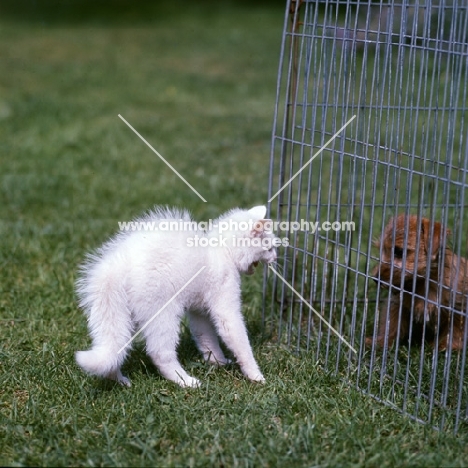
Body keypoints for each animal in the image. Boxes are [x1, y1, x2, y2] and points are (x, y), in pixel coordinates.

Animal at [75, 205, 276, 388]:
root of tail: (116, 265)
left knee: (115, 346)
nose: (275, 257)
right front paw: (256, 375)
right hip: (162, 311)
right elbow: (239, 339)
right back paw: (186, 381)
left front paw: (217, 362)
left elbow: (206, 337)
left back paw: (119, 380)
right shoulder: (224, 301)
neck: (220, 250)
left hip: (122, 314)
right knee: (159, 353)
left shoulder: (199, 310)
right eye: (269, 248)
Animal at [368, 214, 466, 350]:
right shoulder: (397, 303)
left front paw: (445, 345)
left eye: (399, 251)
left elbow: (455, 329)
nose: (376, 279)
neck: (422, 284)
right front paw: (380, 342)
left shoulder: (458, 306)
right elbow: (392, 323)